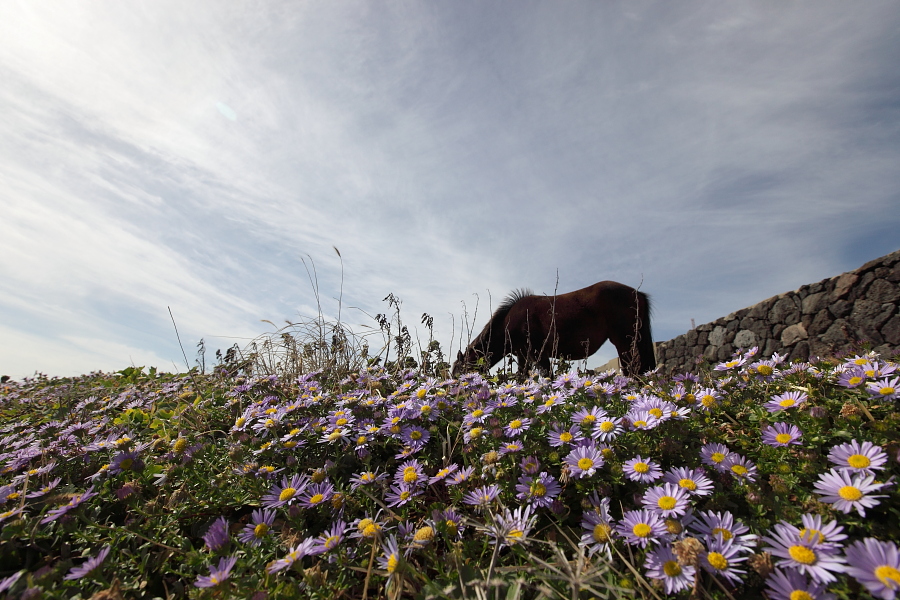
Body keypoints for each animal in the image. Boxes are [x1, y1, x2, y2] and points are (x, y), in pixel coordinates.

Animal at [450, 282, 652, 376]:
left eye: (459, 371)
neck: (509, 321)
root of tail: (638, 293)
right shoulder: (523, 356)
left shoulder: (539, 353)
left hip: (624, 342)